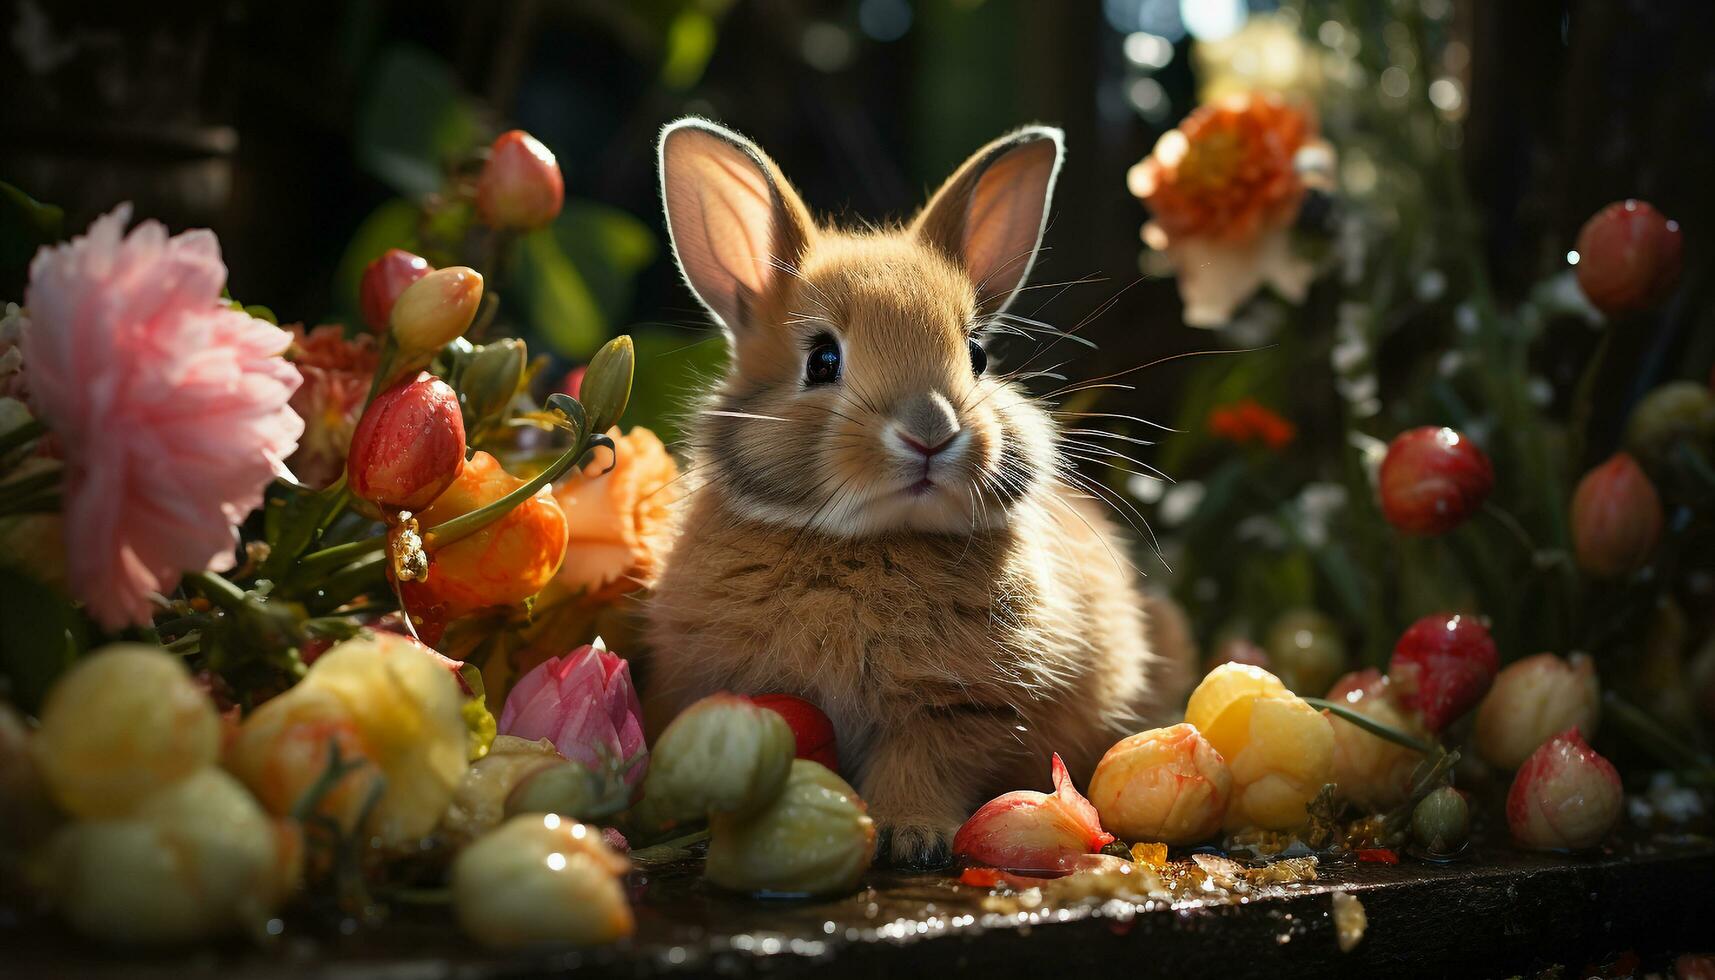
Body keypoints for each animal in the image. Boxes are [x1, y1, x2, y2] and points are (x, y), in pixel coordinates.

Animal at [644, 119, 1193, 871]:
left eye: (977, 355)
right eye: (822, 360)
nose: (931, 432)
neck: (873, 541)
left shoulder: (959, 711)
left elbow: (922, 764)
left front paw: (913, 836)